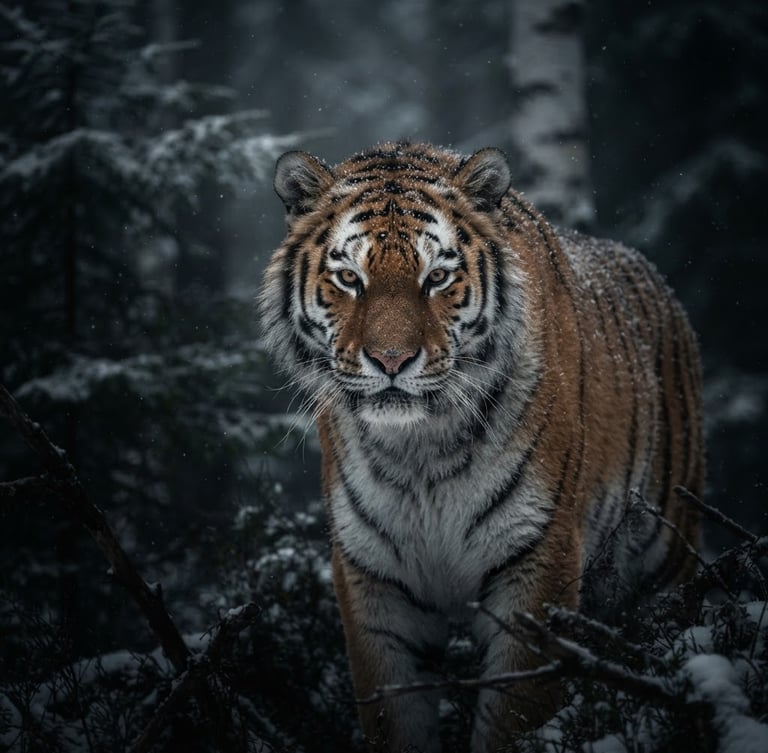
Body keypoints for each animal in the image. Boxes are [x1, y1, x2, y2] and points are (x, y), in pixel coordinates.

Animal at [258, 142, 704, 753]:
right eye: (349, 277)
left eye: (438, 277)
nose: (392, 361)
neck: (418, 449)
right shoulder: (374, 579)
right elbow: (393, 716)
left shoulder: (537, 563)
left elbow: (515, 716)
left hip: (667, 557)